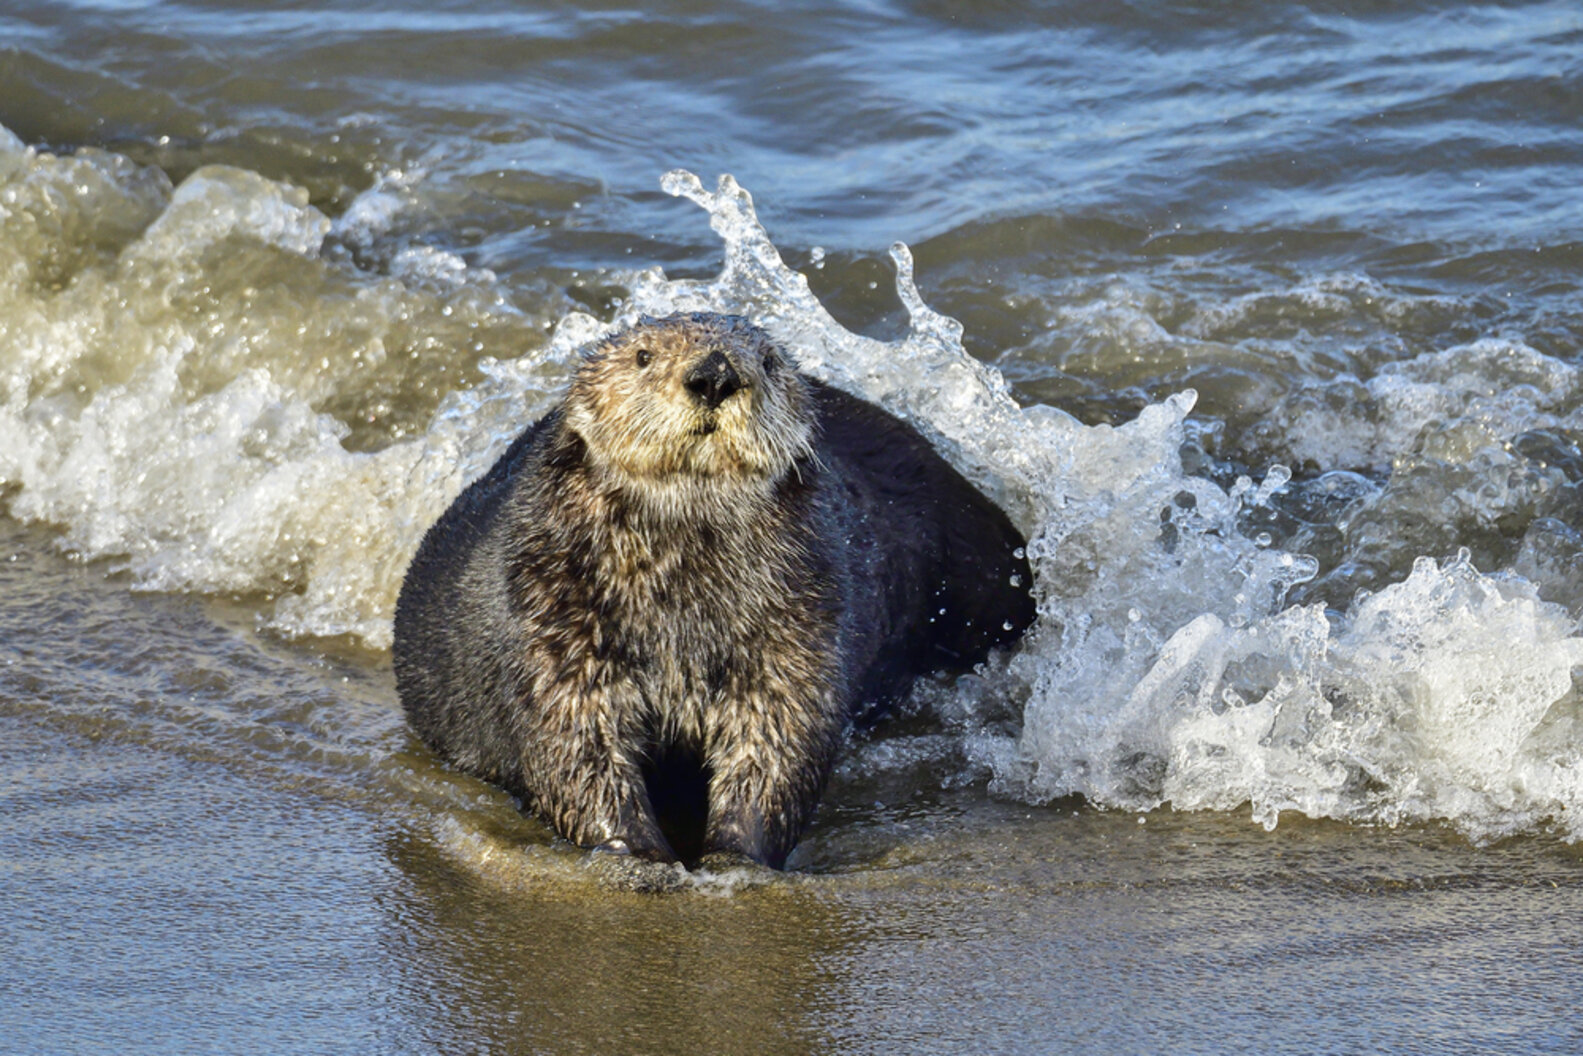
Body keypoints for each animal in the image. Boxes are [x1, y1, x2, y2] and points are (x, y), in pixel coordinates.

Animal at [393, 312, 1035, 869]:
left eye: (769, 361)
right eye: (643, 356)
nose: (714, 374)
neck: (680, 603)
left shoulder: (796, 626)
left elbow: (781, 737)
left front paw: (735, 855)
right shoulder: (552, 623)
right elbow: (574, 745)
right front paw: (639, 854)